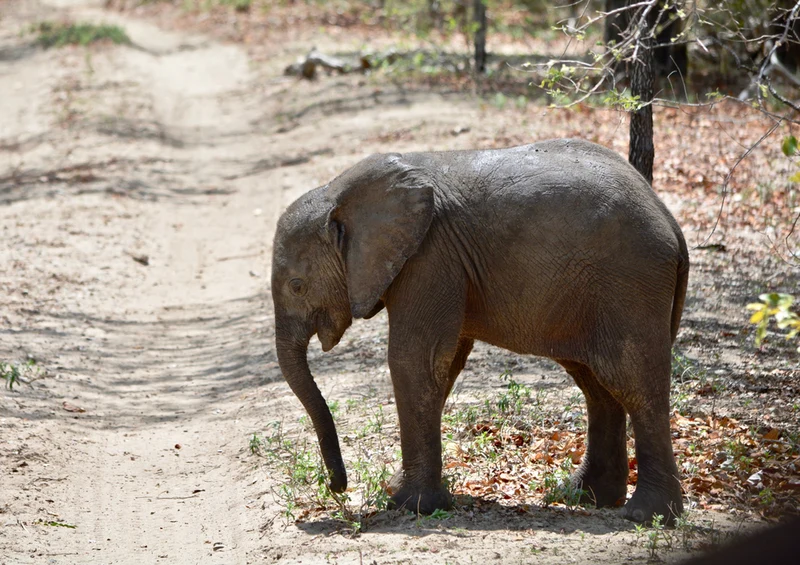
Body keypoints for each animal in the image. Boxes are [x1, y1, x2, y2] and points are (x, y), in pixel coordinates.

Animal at [271, 138, 689, 524]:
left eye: (297, 286)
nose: (337, 486)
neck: (337, 191)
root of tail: (669, 219)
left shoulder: (429, 257)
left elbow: (414, 360)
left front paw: (409, 505)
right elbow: (444, 364)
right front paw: (401, 492)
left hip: (629, 284)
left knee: (634, 382)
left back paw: (646, 515)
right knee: (597, 384)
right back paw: (584, 496)